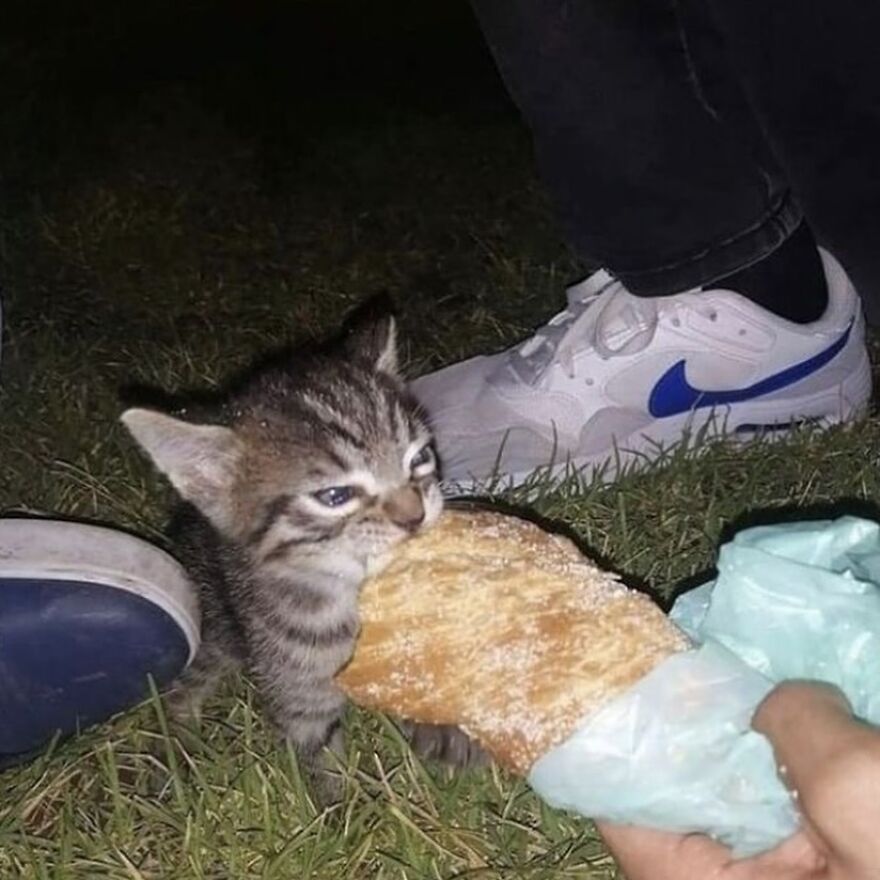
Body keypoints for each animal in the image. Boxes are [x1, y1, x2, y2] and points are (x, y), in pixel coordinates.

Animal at [122, 320, 482, 800]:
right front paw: (341, 809)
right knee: (183, 689)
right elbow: (318, 753)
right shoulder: (296, 685)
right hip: (212, 630)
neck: (351, 594)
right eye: (334, 496)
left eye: (420, 458)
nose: (415, 515)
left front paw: (447, 731)